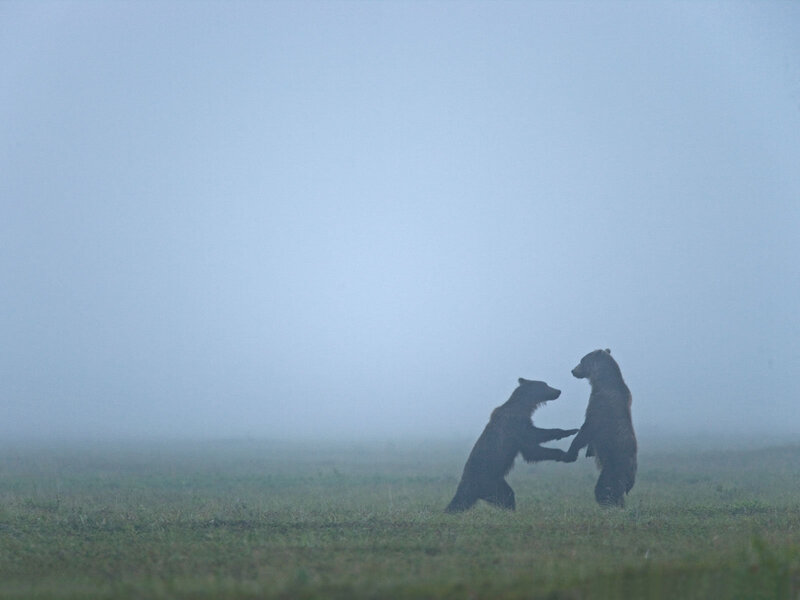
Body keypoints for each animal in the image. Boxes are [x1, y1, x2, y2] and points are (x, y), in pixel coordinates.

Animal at [445, 378, 579, 513]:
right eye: (545, 385)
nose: (558, 391)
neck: (524, 407)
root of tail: (465, 483)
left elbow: (532, 451)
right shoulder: (515, 426)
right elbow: (533, 441)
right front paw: (569, 434)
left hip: (497, 482)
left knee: (505, 495)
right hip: (488, 482)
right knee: (504, 497)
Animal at [563, 349, 637, 507]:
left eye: (582, 360)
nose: (573, 370)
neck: (601, 381)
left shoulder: (599, 404)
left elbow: (586, 429)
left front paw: (569, 453)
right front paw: (589, 451)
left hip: (614, 465)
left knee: (605, 488)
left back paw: (609, 504)